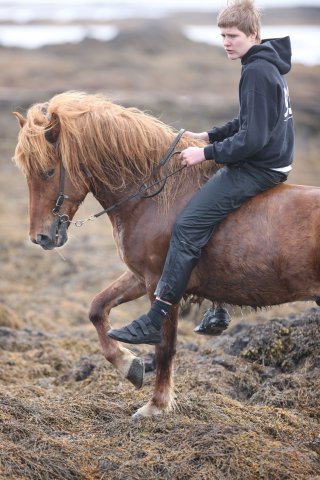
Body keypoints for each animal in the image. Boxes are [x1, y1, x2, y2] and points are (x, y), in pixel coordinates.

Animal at [13, 92, 320, 418]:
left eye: (48, 171)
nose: (41, 237)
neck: (156, 195)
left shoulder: (161, 281)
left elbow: (164, 346)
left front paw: (156, 405)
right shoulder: (140, 276)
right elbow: (97, 309)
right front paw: (129, 366)